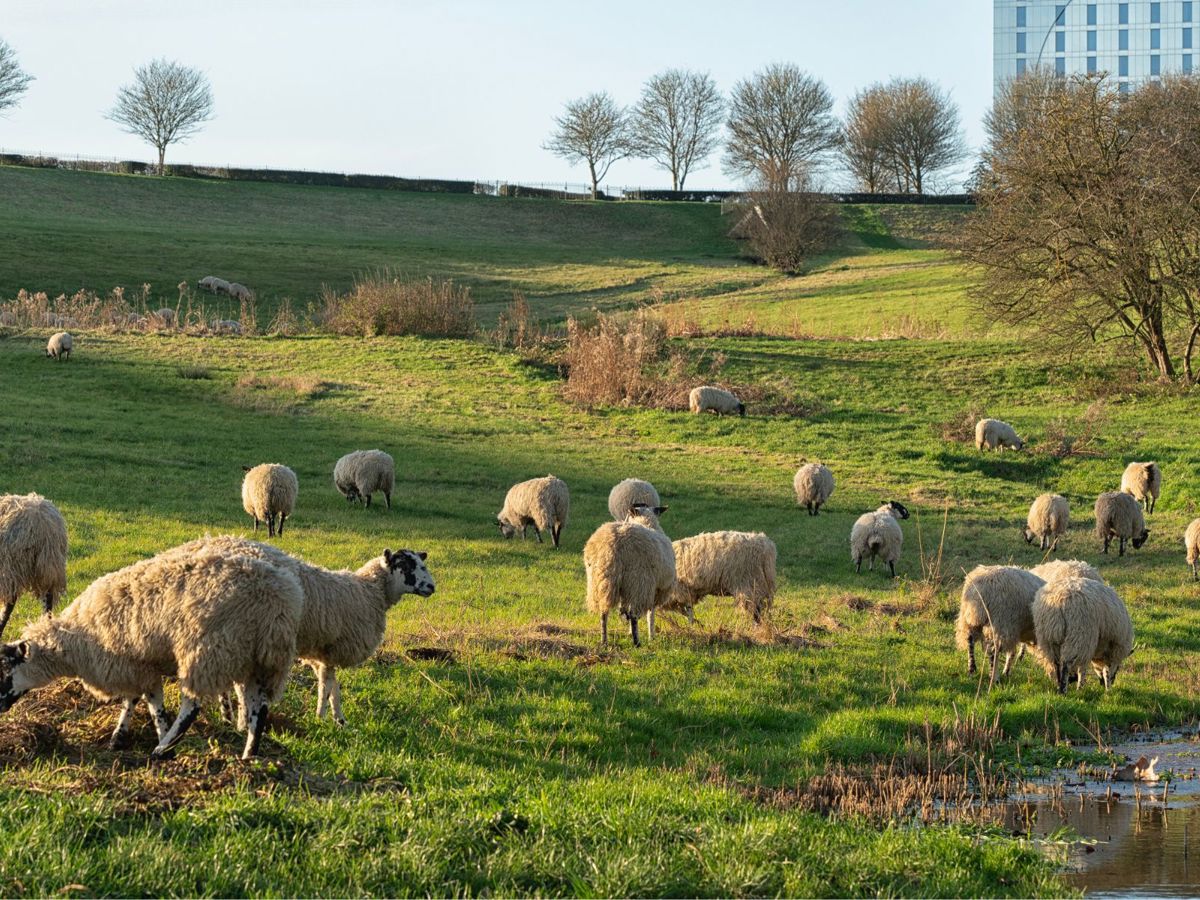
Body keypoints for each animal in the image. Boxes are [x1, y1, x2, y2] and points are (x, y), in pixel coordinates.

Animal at [0, 546, 304, 759]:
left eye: (5, 670)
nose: (0, 707)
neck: (76, 640)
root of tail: (277, 602)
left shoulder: (130, 664)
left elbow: (144, 703)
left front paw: (149, 738)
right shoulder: (140, 666)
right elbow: (143, 701)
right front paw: (124, 737)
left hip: (207, 652)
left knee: (192, 707)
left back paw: (162, 750)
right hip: (260, 662)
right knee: (258, 710)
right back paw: (248, 757)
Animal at [166, 536, 435, 726]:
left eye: (422, 563)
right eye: (405, 565)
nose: (432, 587)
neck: (368, 591)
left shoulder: (322, 651)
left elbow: (333, 685)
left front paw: (339, 720)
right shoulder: (331, 648)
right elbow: (327, 685)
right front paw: (322, 717)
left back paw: (228, 717)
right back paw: (235, 719)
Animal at [583, 503, 674, 646]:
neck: (646, 521)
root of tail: (614, 546)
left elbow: (624, 611)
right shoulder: (654, 589)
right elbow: (650, 613)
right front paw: (651, 636)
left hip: (600, 582)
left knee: (604, 612)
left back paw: (604, 641)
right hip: (638, 581)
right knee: (633, 614)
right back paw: (637, 642)